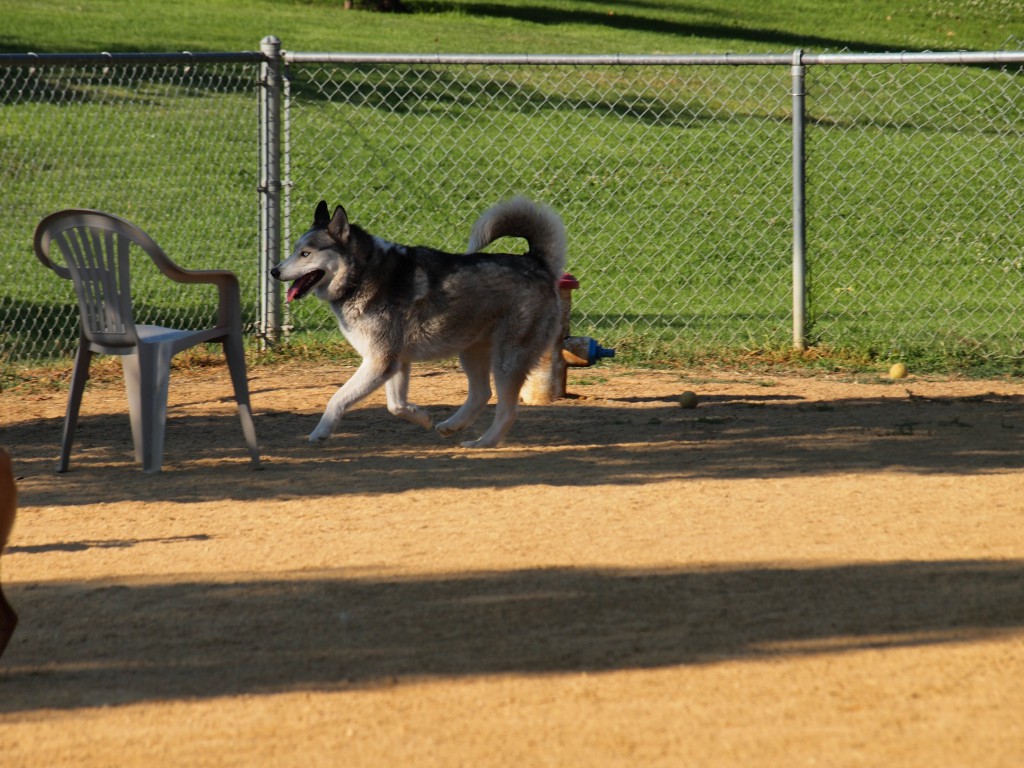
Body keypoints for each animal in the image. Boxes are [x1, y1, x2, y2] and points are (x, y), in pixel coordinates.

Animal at [272, 198, 569, 448]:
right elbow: (395, 405)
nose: (274, 271)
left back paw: (483, 443)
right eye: (296, 250)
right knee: (481, 394)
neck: (361, 273)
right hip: (471, 351)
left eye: (306, 253)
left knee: (506, 410)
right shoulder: (396, 362)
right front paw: (422, 416)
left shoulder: (380, 360)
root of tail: (537, 262)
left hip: (507, 359)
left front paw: (320, 432)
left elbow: (338, 398)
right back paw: (452, 426)